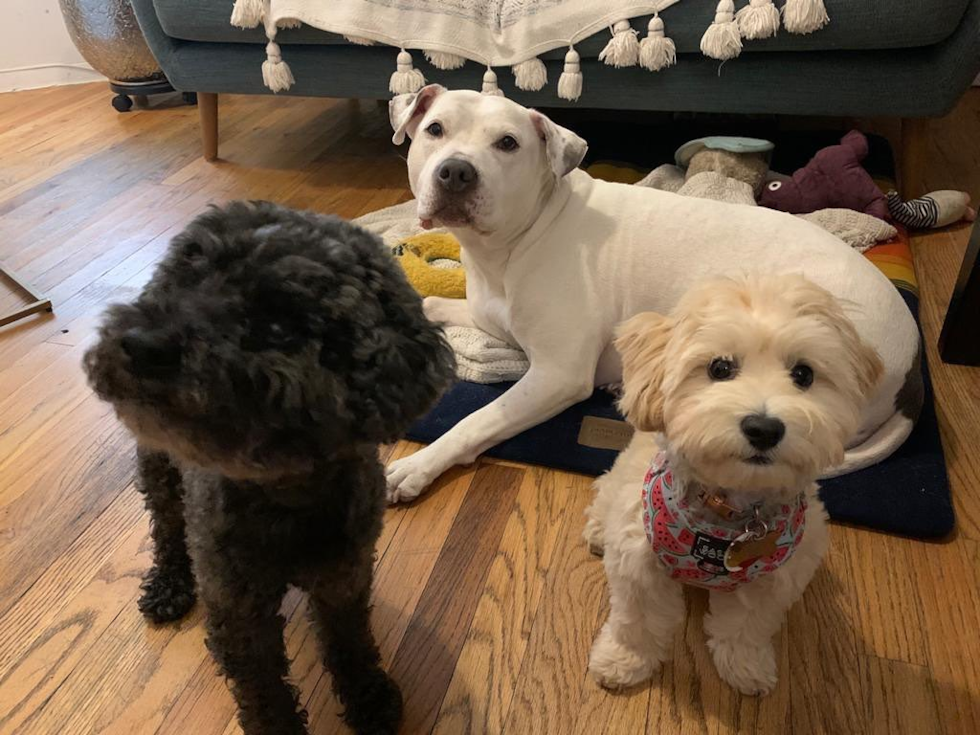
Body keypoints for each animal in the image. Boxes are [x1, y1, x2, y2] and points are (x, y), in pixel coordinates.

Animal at [84, 200, 456, 735]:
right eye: (185, 275)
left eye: (278, 323)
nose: (141, 343)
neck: (285, 494)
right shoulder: (239, 611)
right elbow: (264, 693)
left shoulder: (343, 578)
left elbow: (351, 645)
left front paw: (369, 699)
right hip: (158, 471)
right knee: (168, 531)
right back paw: (169, 585)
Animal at [384, 83, 920, 504]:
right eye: (435, 130)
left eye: (508, 143)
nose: (456, 171)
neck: (506, 249)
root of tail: (912, 368)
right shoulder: (490, 315)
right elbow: (434, 304)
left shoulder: (556, 375)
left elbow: (476, 420)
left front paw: (418, 465)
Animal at [584, 272, 884, 696]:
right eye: (720, 368)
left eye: (804, 375)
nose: (764, 428)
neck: (729, 519)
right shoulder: (638, 564)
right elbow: (636, 622)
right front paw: (624, 660)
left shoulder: (772, 581)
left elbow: (746, 627)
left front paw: (746, 666)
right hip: (620, 484)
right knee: (603, 494)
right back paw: (596, 530)